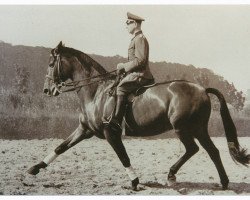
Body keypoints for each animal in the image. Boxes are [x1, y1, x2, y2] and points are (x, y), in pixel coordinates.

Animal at [27, 41, 250, 191]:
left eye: (51, 64)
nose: (47, 90)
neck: (96, 92)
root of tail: (202, 89)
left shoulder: (110, 133)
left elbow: (123, 156)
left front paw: (134, 182)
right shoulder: (85, 130)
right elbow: (61, 147)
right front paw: (34, 168)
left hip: (183, 128)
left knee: (193, 149)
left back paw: (172, 175)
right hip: (198, 128)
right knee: (213, 151)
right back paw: (224, 182)